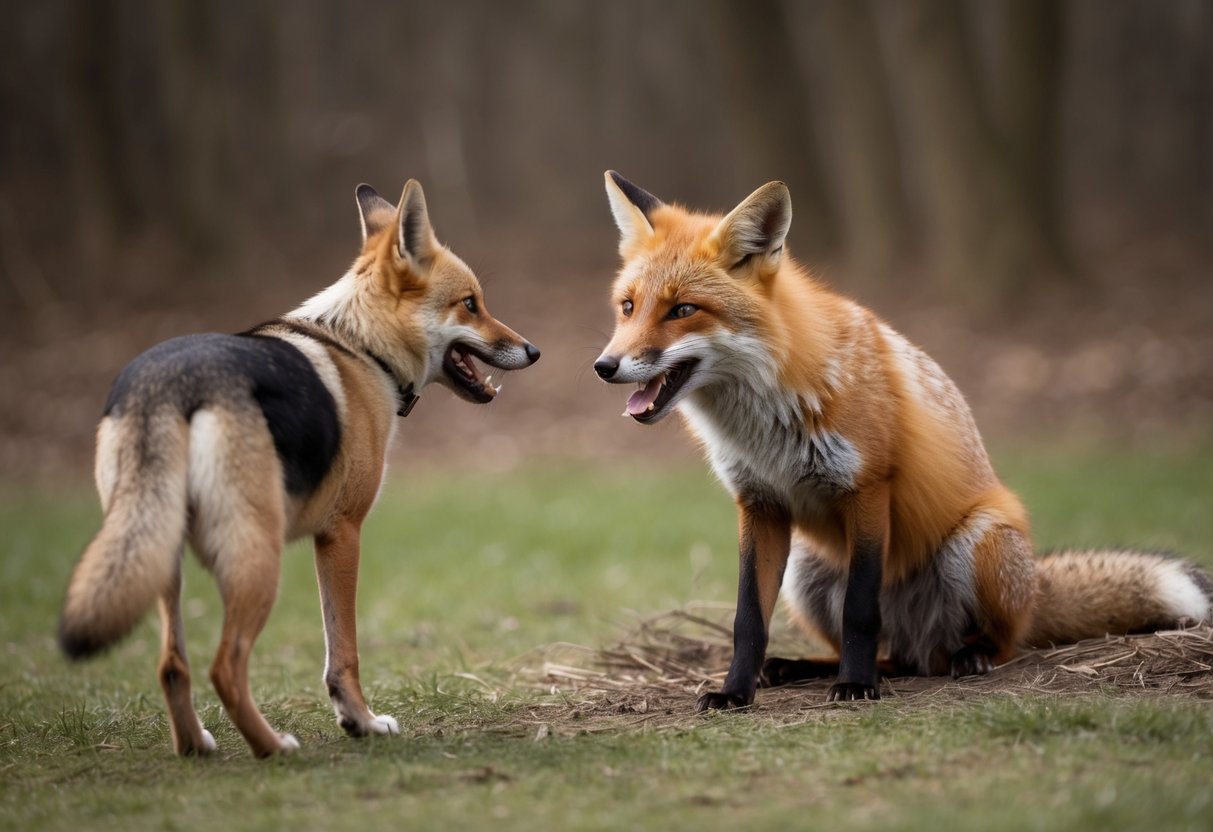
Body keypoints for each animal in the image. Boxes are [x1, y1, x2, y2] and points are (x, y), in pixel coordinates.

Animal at [58, 179, 540, 756]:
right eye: (471, 305)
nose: (534, 350)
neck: (362, 348)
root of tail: (168, 386)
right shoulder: (342, 533)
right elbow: (344, 652)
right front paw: (362, 722)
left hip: (159, 557)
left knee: (172, 665)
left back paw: (196, 747)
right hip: (257, 560)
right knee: (225, 666)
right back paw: (273, 747)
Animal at [594, 170, 1213, 709]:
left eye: (683, 310)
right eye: (628, 307)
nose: (604, 366)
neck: (765, 420)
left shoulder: (868, 487)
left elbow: (862, 611)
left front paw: (855, 688)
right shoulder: (759, 503)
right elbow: (749, 620)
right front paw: (735, 693)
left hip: (979, 543)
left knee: (988, 644)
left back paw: (965, 657)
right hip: (808, 572)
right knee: (896, 656)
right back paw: (804, 668)